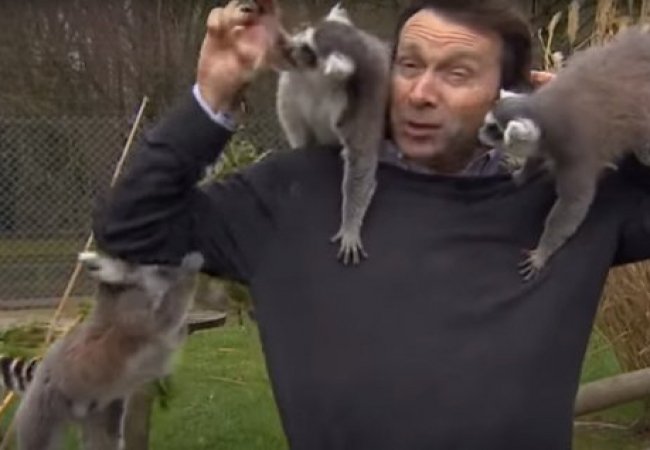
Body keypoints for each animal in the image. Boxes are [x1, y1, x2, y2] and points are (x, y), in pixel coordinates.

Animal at [12, 250, 203, 450]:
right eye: (160, 270)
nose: (170, 268)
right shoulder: (136, 320)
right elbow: (166, 317)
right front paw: (191, 267)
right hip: (44, 404)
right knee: (37, 439)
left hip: (100, 408)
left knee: (103, 439)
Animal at [272, 3, 391, 265]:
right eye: (304, 33)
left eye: (308, 49)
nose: (285, 44)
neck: (321, 84)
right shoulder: (294, 82)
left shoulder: (364, 96)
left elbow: (361, 159)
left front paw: (350, 228)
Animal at [478, 25, 650, 281]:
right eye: (488, 124)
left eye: (495, 130)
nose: (479, 134)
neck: (544, 114)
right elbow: (536, 156)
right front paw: (521, 174)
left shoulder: (575, 149)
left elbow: (573, 203)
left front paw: (542, 253)